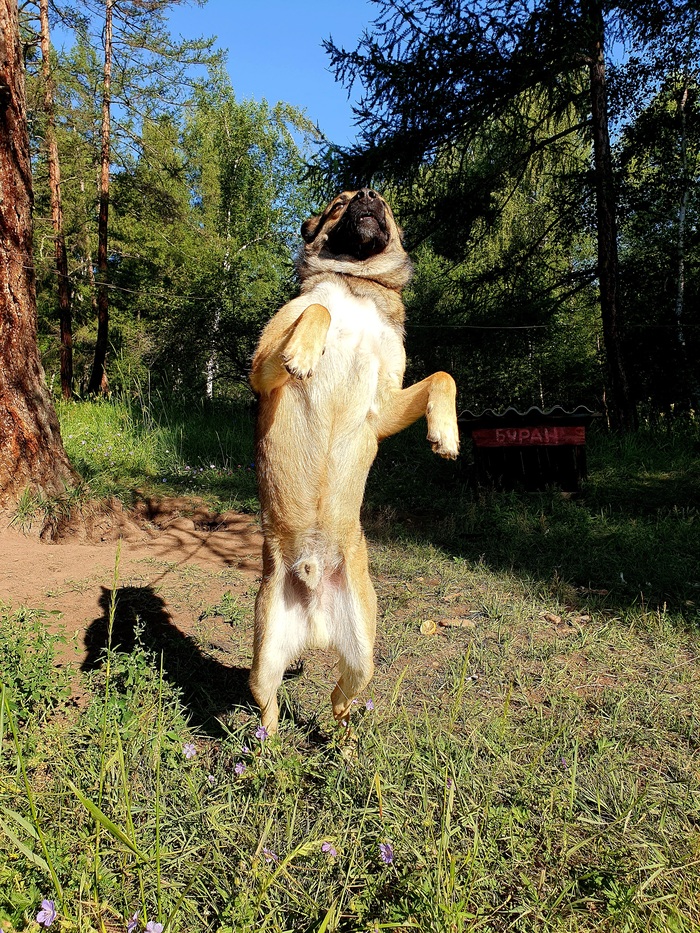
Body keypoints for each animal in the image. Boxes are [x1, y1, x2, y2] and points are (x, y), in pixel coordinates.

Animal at [247, 186, 460, 732]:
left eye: (382, 202)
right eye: (339, 203)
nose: (366, 193)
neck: (355, 282)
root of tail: (316, 620)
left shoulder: (384, 406)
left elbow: (444, 375)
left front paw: (445, 434)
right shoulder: (261, 368)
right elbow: (318, 312)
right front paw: (306, 351)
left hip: (364, 652)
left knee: (341, 696)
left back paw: (343, 739)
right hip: (264, 657)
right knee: (268, 706)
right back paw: (267, 747)